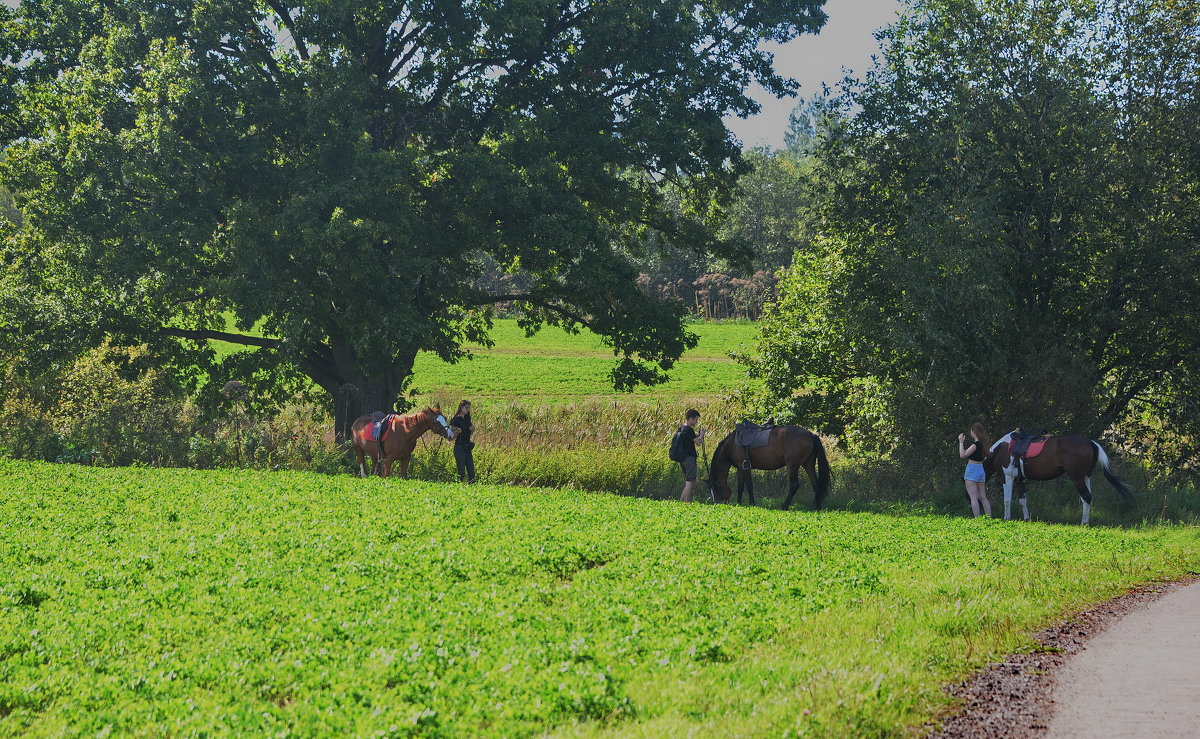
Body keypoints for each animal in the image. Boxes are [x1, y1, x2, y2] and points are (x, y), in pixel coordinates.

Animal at [988, 429, 1137, 523]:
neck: (1000, 450)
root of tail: (1090, 442)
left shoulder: (1007, 477)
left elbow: (1007, 500)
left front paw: (1006, 518)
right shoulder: (1020, 480)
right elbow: (1023, 501)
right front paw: (1026, 519)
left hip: (1076, 478)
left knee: (1086, 497)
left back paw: (1084, 523)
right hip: (1086, 477)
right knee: (1087, 498)